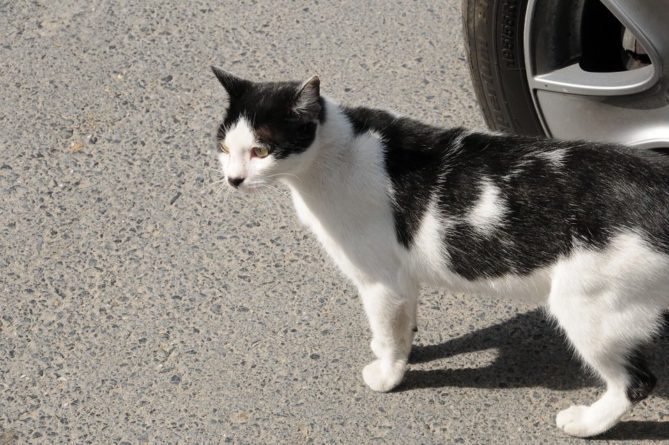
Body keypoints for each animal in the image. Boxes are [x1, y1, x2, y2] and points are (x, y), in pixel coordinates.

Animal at [211, 67, 668, 438]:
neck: (332, 156)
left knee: (637, 383)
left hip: (588, 309)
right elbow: (403, 323)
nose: (233, 179)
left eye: (261, 150)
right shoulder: (401, 278)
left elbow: (388, 331)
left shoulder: (380, 282)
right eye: (224, 147)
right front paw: (401, 350)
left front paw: (389, 375)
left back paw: (587, 423)